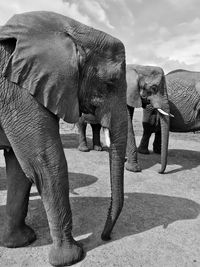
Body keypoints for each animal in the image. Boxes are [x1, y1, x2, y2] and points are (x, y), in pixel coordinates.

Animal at [0, 12, 127, 267]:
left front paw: (20, 242)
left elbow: (20, 167)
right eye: (109, 83)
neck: (72, 28)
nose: (105, 236)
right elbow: (45, 163)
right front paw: (71, 257)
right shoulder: (17, 91)